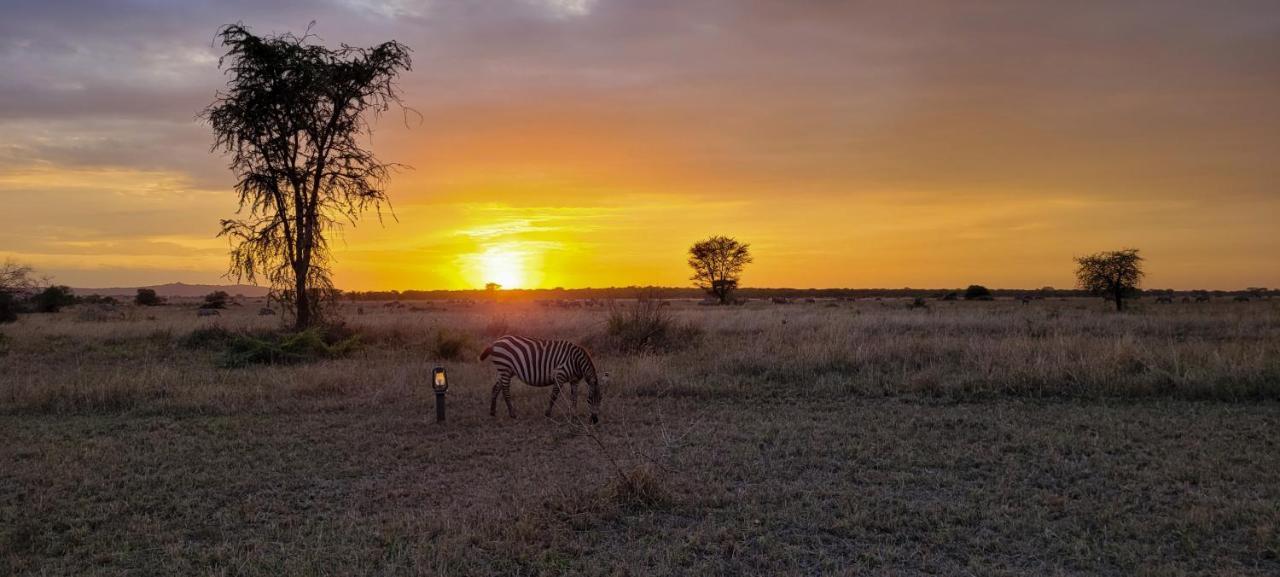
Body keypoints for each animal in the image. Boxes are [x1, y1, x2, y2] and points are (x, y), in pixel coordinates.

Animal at [481, 335, 609, 424]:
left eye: (601, 399)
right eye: (589, 399)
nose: (595, 420)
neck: (576, 362)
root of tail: (496, 342)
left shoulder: (574, 380)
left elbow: (574, 398)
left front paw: (574, 415)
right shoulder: (560, 376)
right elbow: (554, 396)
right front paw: (547, 414)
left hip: (505, 371)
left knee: (496, 388)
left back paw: (492, 412)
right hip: (505, 368)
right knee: (505, 390)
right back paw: (513, 414)